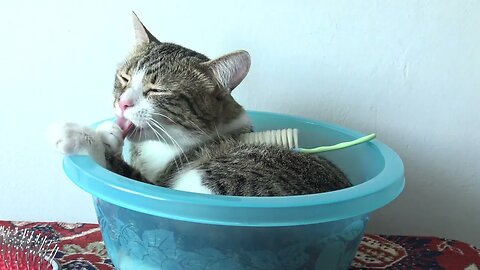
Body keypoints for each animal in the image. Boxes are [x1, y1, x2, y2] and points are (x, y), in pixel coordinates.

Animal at [50, 12, 350, 196]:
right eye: (124, 78)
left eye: (157, 90)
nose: (123, 103)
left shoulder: (164, 186)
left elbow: (121, 169)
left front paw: (82, 136)